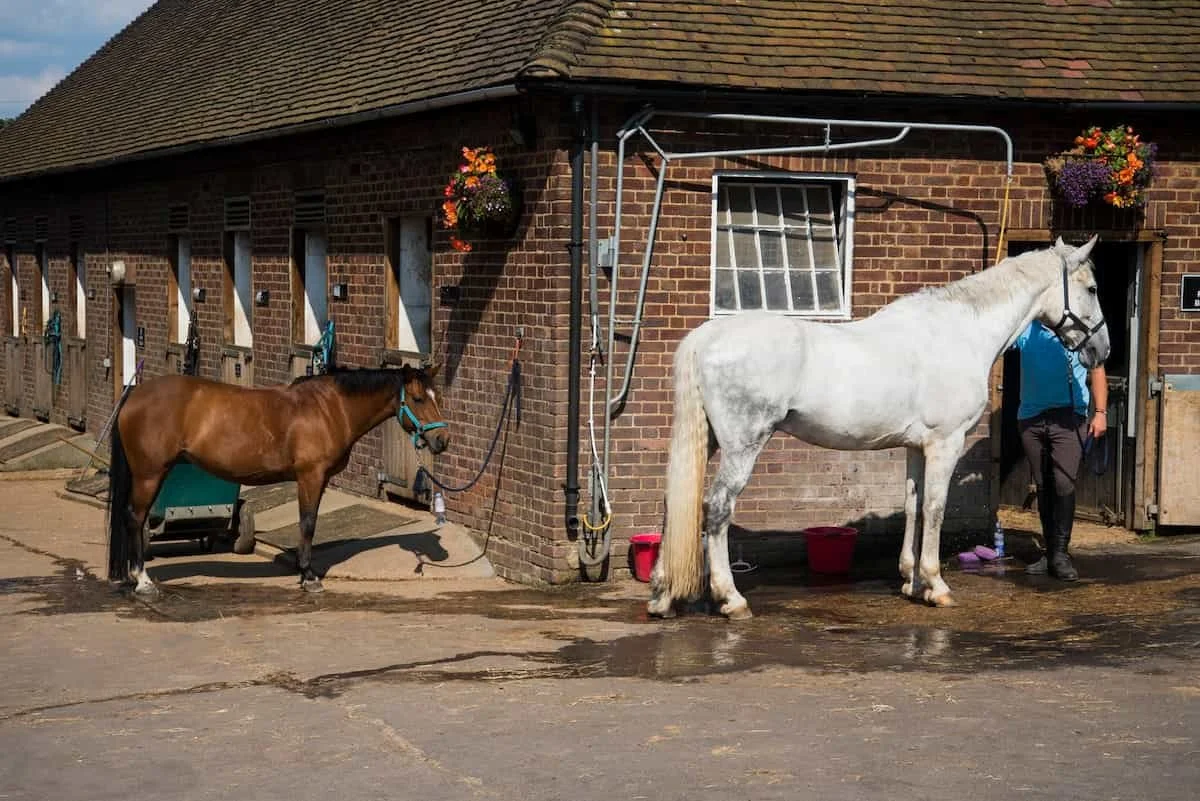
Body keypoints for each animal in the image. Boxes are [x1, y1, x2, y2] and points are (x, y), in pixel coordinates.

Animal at [106, 364, 449, 595]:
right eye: (418, 398)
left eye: (438, 396)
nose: (442, 440)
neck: (330, 407)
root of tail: (134, 394)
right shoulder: (310, 476)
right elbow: (308, 523)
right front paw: (308, 577)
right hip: (150, 474)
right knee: (135, 518)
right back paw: (142, 580)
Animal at [648, 235, 1109, 619]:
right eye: (1091, 289)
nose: (1101, 351)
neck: (960, 332)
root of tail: (706, 337)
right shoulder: (946, 442)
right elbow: (936, 508)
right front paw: (936, 585)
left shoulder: (916, 446)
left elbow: (913, 505)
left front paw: (911, 581)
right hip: (743, 446)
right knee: (717, 509)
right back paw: (731, 599)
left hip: (708, 442)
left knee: (673, 502)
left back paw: (662, 595)